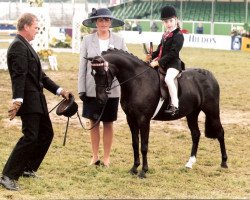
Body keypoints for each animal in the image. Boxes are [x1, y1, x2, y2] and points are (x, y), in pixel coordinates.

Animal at [89, 48, 228, 178]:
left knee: (220, 133)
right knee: (196, 134)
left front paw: (143, 171)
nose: (100, 99)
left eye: (102, 72)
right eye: (92, 73)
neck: (137, 81)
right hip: (192, 113)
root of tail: (209, 75)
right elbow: (135, 144)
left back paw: (224, 163)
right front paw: (134, 168)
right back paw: (189, 163)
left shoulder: (144, 120)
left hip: (212, 111)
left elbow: (144, 146)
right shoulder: (131, 119)